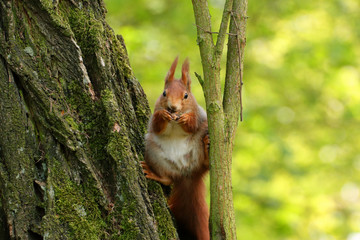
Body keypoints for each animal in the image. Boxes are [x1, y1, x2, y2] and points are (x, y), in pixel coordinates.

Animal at [141, 57, 210, 239]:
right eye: (164, 93)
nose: (173, 108)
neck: (175, 119)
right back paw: (155, 174)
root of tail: (188, 173)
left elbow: (192, 123)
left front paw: (186, 119)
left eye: (186, 95)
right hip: (152, 150)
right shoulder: (154, 119)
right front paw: (163, 115)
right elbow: (156, 125)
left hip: (203, 136)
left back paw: (207, 150)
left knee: (206, 164)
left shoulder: (199, 115)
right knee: (168, 179)